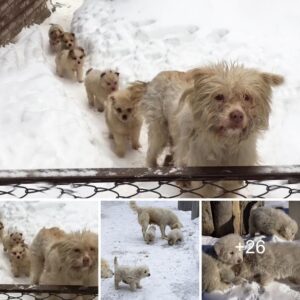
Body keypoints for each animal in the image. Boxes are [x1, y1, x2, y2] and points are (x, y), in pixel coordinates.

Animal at [141, 63, 284, 197]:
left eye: (247, 96)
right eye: (219, 96)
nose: (237, 115)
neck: (224, 142)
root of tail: (161, 74)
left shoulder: (233, 178)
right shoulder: (202, 176)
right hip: (159, 130)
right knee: (152, 153)